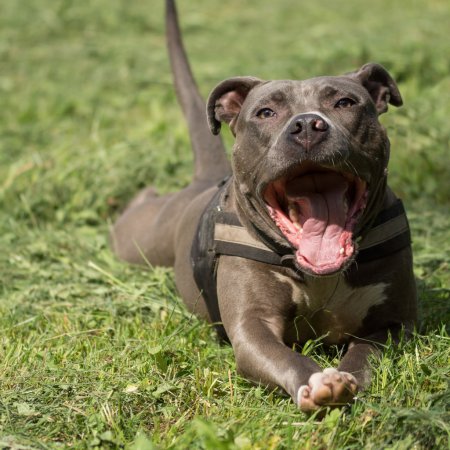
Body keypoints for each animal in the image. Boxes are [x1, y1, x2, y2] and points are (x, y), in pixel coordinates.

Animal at [111, 0, 418, 414]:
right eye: (266, 113)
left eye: (345, 102)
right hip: (139, 239)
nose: (307, 125)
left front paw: (346, 376)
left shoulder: (393, 323)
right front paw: (317, 381)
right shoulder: (252, 328)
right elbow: (285, 356)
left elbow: (364, 354)